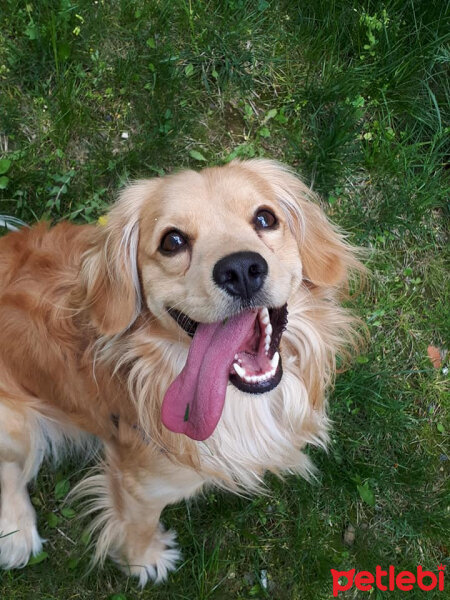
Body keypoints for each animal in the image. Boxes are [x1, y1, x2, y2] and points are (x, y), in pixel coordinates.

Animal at [0, 157, 362, 584]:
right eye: (172, 241)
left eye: (265, 218)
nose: (241, 269)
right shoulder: (139, 485)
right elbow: (137, 526)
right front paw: (144, 560)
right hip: (16, 425)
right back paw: (18, 533)